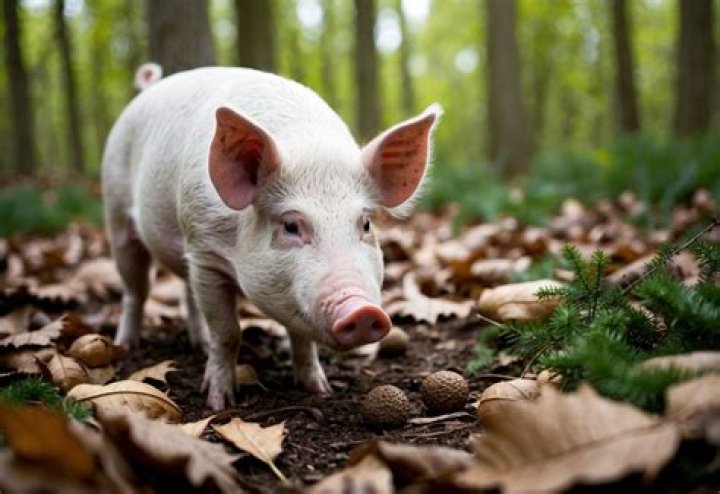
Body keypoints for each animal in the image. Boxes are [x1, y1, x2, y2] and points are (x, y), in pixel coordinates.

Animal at [102, 64, 441, 411]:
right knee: (136, 290)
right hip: (116, 211)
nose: (362, 310)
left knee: (186, 293)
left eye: (366, 224)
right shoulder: (204, 251)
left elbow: (301, 337)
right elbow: (227, 331)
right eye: (291, 225)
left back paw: (198, 345)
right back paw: (126, 345)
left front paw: (319, 389)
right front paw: (219, 402)